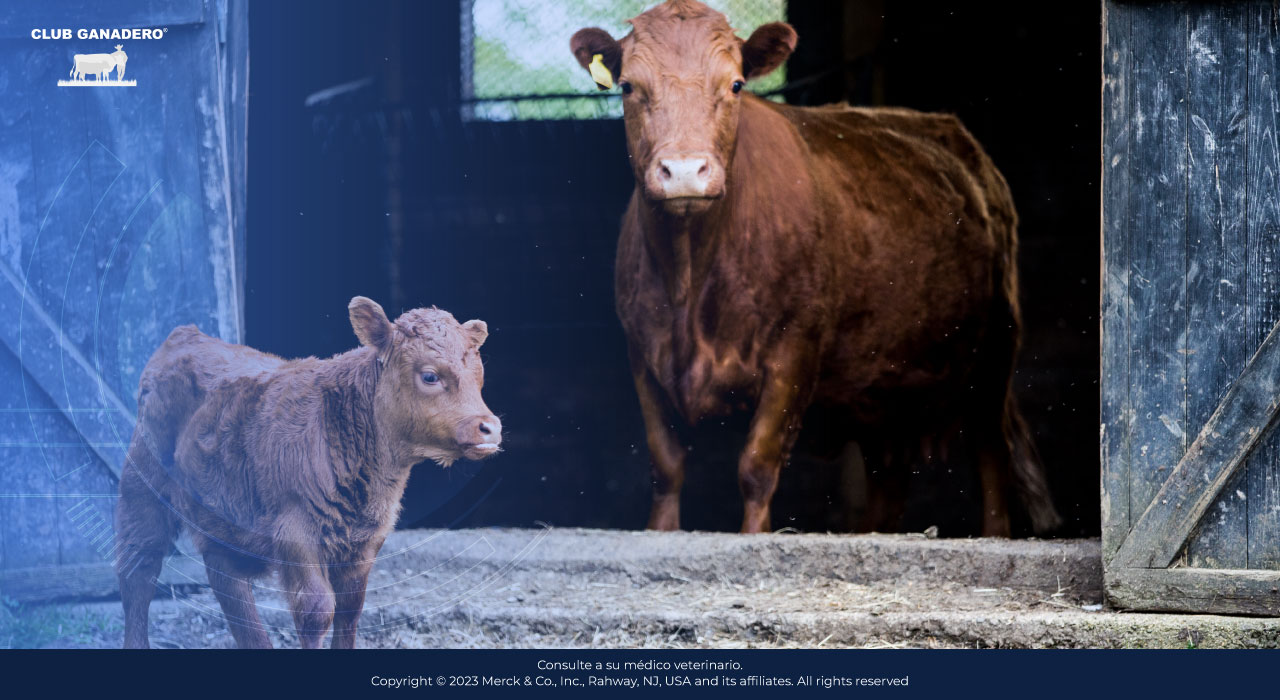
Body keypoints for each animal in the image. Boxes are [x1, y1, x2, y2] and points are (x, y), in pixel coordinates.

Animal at [115, 294, 501, 647]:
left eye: (480, 377)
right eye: (430, 375)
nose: (490, 427)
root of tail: (186, 335)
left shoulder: (365, 542)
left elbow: (350, 610)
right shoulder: (296, 534)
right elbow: (316, 612)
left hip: (223, 518)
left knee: (228, 585)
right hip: (142, 488)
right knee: (139, 570)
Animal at [570, 1, 1059, 537]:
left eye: (735, 84)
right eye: (627, 86)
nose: (683, 172)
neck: (689, 281)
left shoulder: (794, 350)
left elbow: (756, 465)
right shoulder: (642, 354)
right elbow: (666, 465)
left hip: (994, 353)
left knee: (992, 454)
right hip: (884, 392)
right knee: (889, 479)